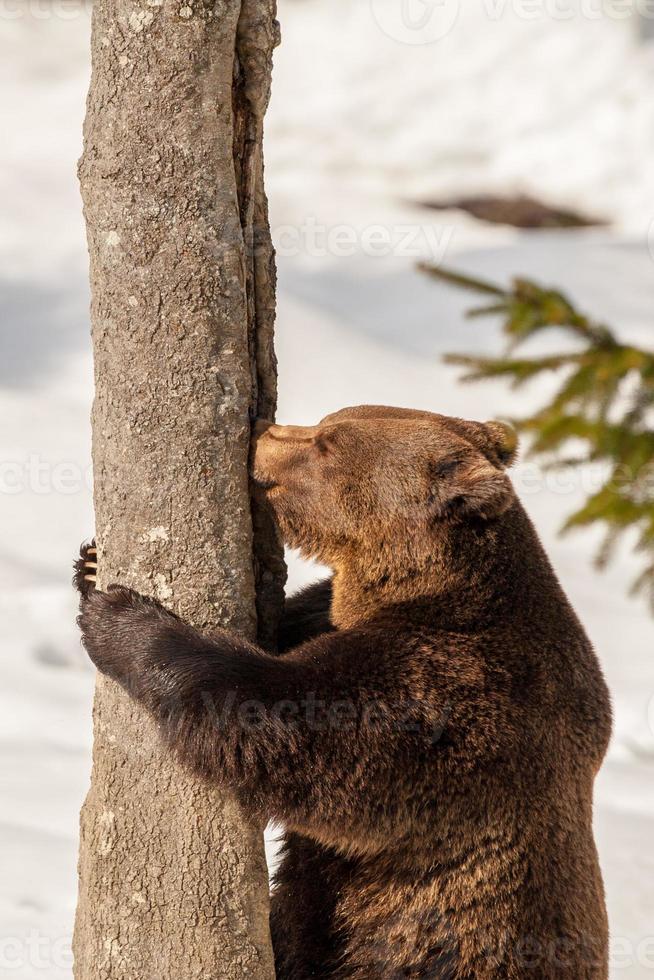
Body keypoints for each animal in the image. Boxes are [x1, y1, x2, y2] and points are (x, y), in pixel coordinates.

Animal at [74, 402, 612, 976]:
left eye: (327, 444)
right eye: (327, 424)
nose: (259, 431)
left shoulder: (446, 696)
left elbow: (279, 717)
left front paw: (122, 619)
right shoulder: (330, 616)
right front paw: (90, 564)